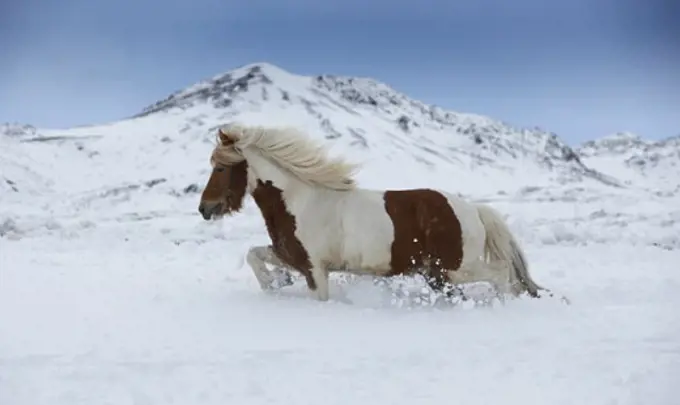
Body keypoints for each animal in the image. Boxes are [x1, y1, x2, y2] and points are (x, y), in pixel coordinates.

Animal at [197, 123, 556, 304]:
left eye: (220, 167)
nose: (205, 209)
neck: (300, 201)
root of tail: (474, 210)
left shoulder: (315, 269)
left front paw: (277, 282)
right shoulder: (291, 255)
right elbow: (254, 254)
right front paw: (276, 281)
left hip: (455, 268)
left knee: (502, 275)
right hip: (438, 274)